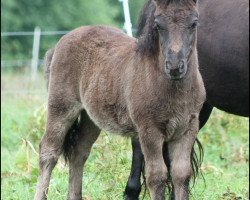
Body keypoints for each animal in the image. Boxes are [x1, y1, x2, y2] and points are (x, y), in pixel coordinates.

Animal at [34, 0, 205, 199]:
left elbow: (181, 174)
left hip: (90, 117)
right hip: (61, 107)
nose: (175, 67)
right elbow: (157, 176)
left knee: (79, 153)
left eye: (194, 23)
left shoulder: (188, 128)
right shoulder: (149, 130)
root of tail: (61, 42)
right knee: (48, 153)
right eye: (157, 24)